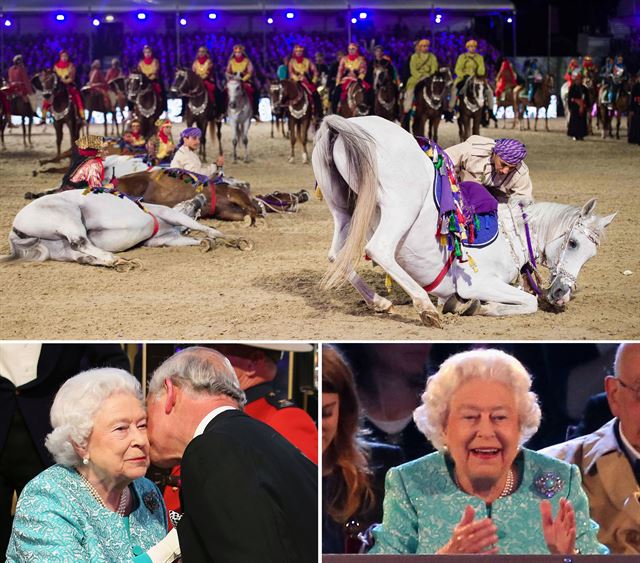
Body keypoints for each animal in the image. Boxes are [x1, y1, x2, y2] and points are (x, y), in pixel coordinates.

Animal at [312, 117, 616, 328]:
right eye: (573, 243)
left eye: (591, 254)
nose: (562, 292)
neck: (512, 237)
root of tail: (347, 124)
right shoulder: (479, 283)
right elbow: (528, 301)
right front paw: (487, 307)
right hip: (400, 209)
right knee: (379, 250)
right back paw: (426, 309)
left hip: (344, 211)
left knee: (336, 255)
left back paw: (380, 302)